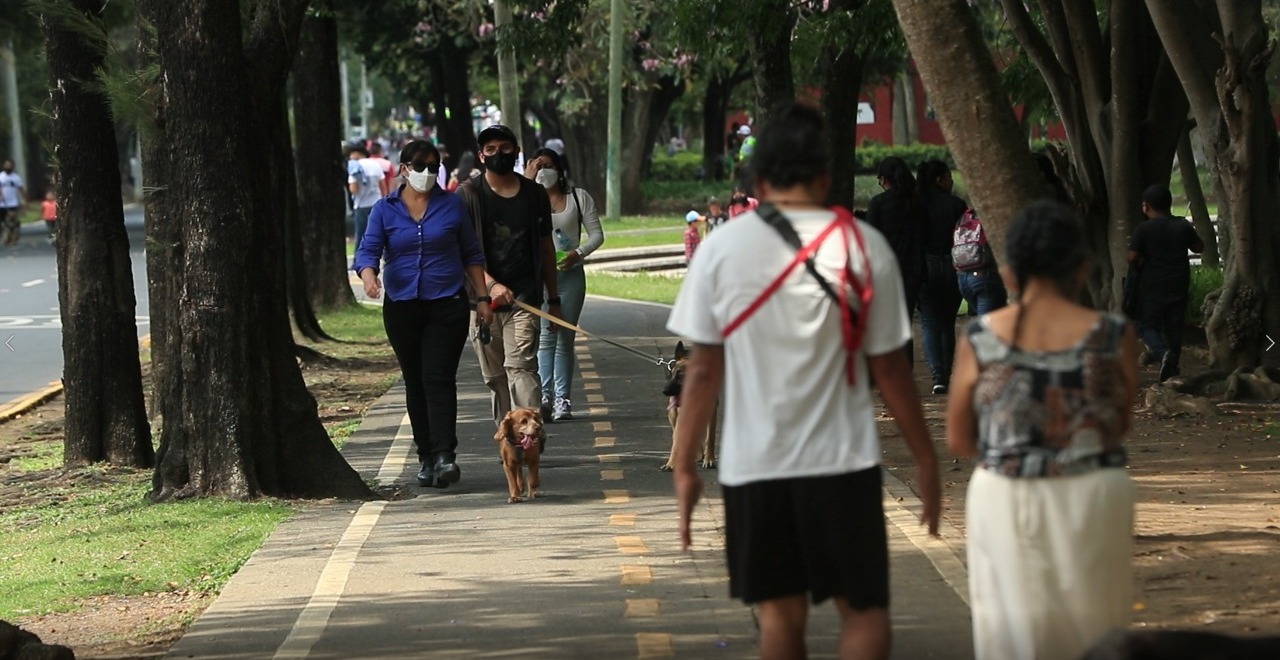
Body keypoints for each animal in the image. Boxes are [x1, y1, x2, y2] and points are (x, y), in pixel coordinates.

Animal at [665, 342, 716, 470]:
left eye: (680, 376)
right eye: (671, 374)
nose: (664, 391)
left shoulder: (712, 409)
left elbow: (710, 437)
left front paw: (709, 459)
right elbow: (677, 440)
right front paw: (671, 463)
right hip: (673, 413)